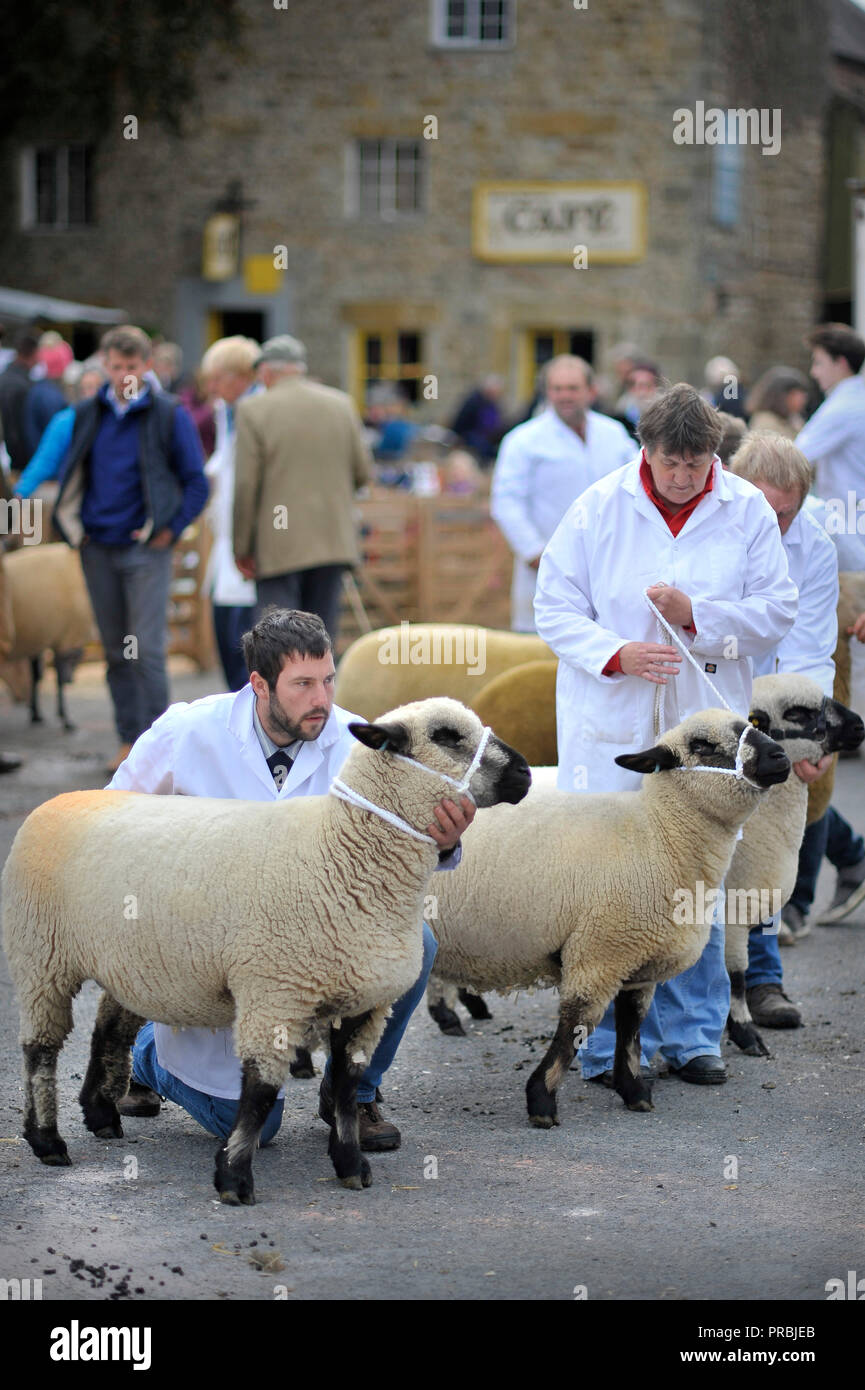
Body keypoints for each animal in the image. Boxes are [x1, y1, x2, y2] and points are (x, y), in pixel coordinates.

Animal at [0, 539, 95, 728]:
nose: (71, 680)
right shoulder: (64, 638)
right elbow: (57, 678)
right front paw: (65, 719)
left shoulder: (42, 639)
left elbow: (37, 676)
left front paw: (36, 714)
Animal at [3, 700, 531, 1200]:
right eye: (446, 736)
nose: (526, 774)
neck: (344, 855)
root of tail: (58, 802)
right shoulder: (275, 992)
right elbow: (260, 1091)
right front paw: (234, 1177)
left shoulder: (364, 1001)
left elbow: (345, 1086)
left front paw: (350, 1163)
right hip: (40, 955)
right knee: (40, 1048)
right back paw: (47, 1140)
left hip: (132, 961)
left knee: (109, 1026)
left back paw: (101, 1114)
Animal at [422, 711, 789, 1123]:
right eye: (702, 745)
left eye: (751, 726)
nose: (780, 756)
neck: (660, 834)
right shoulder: (599, 952)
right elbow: (576, 1026)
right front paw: (541, 1100)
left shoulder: (637, 960)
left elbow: (631, 1027)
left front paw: (633, 1091)